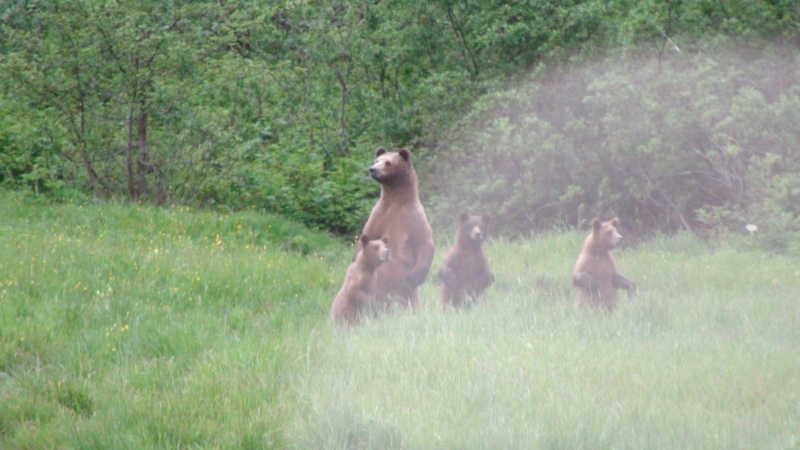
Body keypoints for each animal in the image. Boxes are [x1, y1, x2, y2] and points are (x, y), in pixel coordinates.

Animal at [358, 146, 435, 309]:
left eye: (388, 162)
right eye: (377, 160)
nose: (372, 169)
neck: (395, 199)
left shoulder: (414, 218)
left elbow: (425, 242)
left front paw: (414, 277)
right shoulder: (379, 215)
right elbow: (368, 235)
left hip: (407, 294)